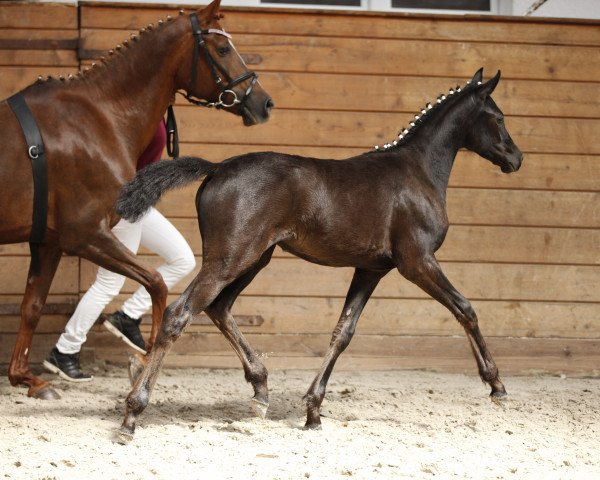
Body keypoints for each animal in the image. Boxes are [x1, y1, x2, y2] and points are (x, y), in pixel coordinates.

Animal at [1, 0, 274, 400]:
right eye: (223, 49)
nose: (264, 102)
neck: (98, 117)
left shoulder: (48, 242)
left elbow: (32, 306)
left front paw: (27, 379)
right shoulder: (84, 235)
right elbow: (157, 283)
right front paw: (144, 363)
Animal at [116, 67, 520, 438]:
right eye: (499, 117)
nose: (516, 159)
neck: (417, 172)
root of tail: (217, 168)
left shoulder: (371, 269)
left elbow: (343, 331)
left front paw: (312, 410)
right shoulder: (417, 261)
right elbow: (465, 309)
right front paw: (496, 386)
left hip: (253, 258)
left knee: (219, 307)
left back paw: (260, 390)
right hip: (230, 258)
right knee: (180, 314)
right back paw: (133, 413)